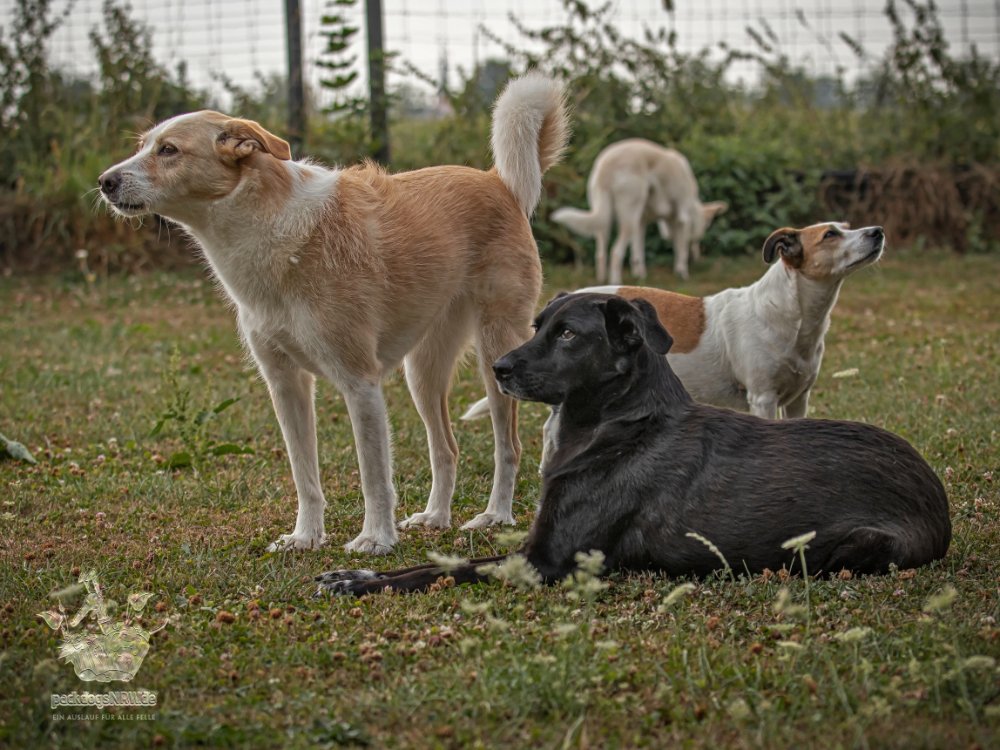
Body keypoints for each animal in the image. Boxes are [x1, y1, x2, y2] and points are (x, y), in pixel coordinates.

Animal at [98, 72, 570, 554]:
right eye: (144, 145)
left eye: (168, 150)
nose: (104, 182)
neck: (273, 230)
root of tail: (499, 184)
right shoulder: (285, 385)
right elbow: (304, 475)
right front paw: (305, 537)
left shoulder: (360, 384)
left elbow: (374, 477)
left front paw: (376, 539)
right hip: (422, 372)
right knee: (446, 449)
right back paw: (436, 517)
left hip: (497, 356)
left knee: (508, 447)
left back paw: (495, 515)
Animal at [315, 292, 951, 595]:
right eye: (537, 326)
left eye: (567, 335)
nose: (497, 369)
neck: (617, 425)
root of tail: (936, 494)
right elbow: (436, 560)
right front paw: (356, 574)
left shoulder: (546, 560)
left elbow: (437, 572)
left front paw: (360, 584)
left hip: (852, 545)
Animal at [464, 221, 886, 465]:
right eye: (831, 235)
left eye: (846, 226)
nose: (878, 230)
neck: (791, 314)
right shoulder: (763, 398)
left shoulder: (799, 399)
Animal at [551, 138, 727, 283]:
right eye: (705, 227)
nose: (697, 258)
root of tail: (606, 165)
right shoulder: (682, 219)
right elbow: (680, 249)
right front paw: (682, 273)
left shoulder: (641, 222)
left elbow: (638, 253)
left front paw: (640, 275)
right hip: (628, 218)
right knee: (616, 253)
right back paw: (616, 283)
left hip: (606, 220)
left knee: (600, 253)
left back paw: (601, 281)